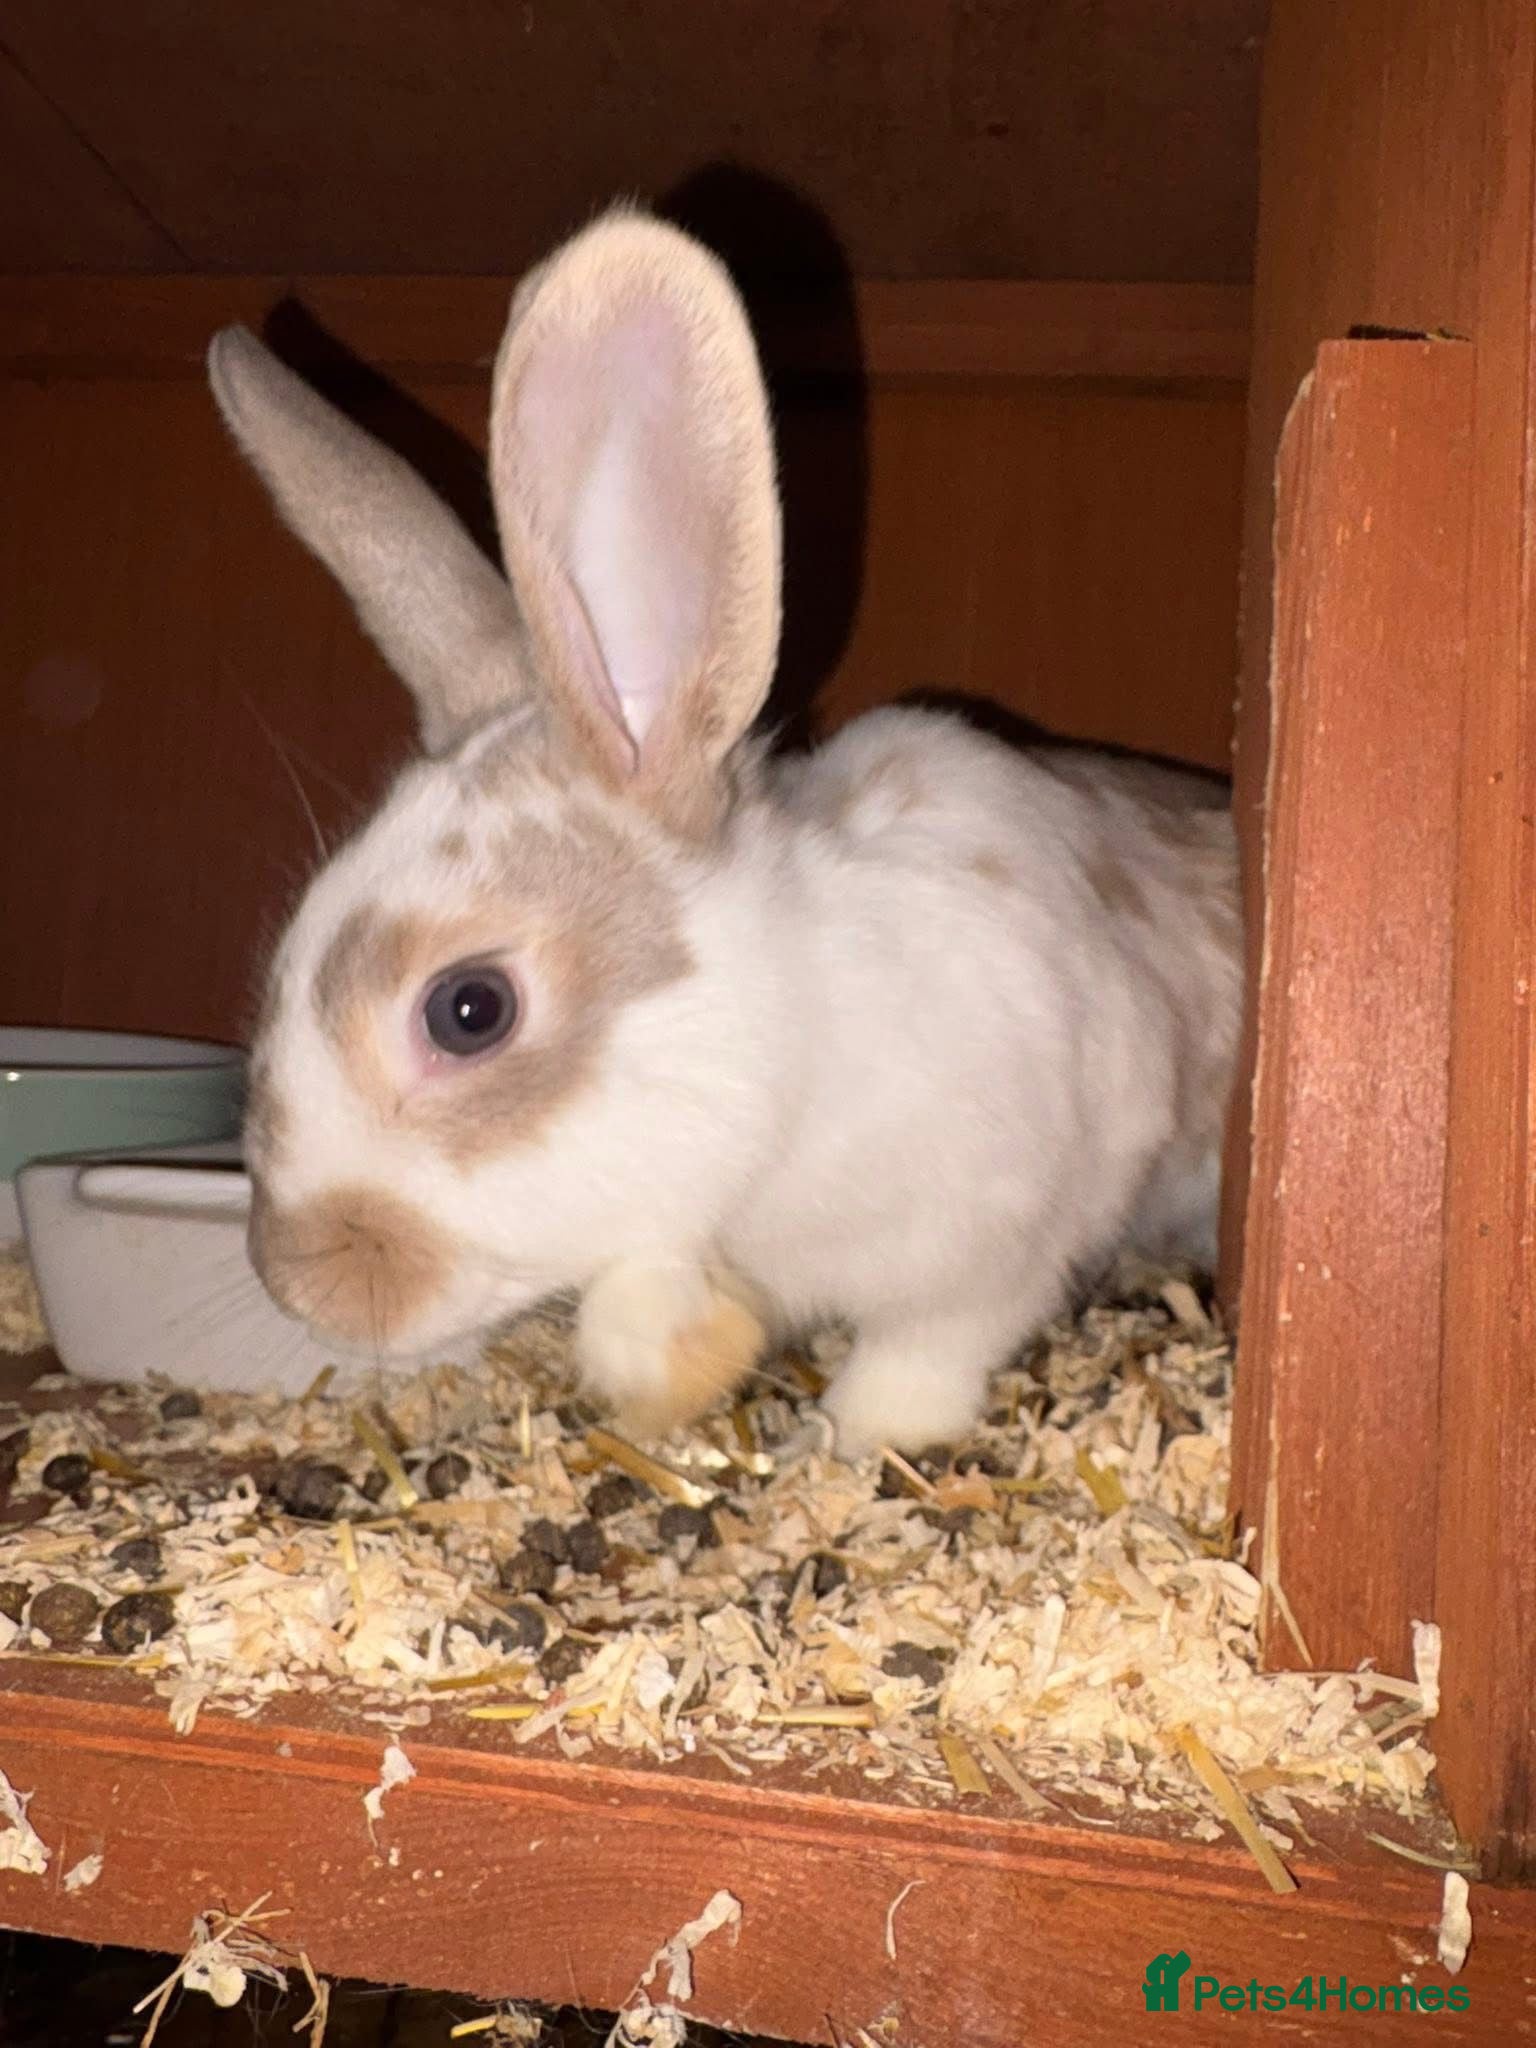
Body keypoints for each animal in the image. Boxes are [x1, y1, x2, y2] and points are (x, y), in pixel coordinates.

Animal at [208, 205, 1242, 1458]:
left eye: (469, 1009)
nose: (295, 1274)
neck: (800, 1048)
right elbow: (641, 1294)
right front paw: (689, 1362)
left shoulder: (1014, 1226)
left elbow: (929, 1346)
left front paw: (850, 1435)